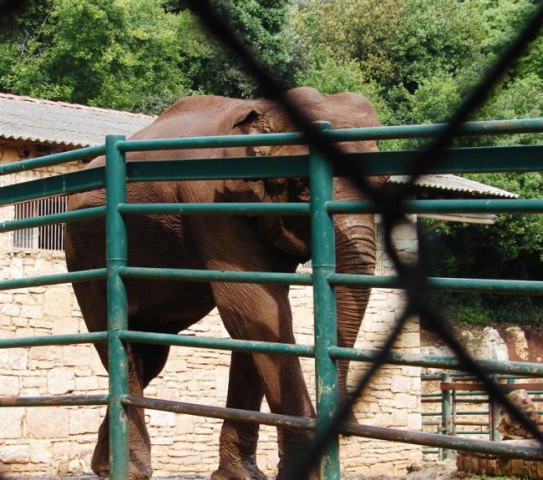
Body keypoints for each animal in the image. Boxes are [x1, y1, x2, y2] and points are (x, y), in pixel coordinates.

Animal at [63, 87, 384, 480]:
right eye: (303, 188)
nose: (349, 424)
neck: (264, 111)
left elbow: (259, 319)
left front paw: (240, 475)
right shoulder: (212, 200)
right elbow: (253, 307)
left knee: (150, 356)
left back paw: (105, 465)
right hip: (86, 249)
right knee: (119, 340)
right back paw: (132, 468)